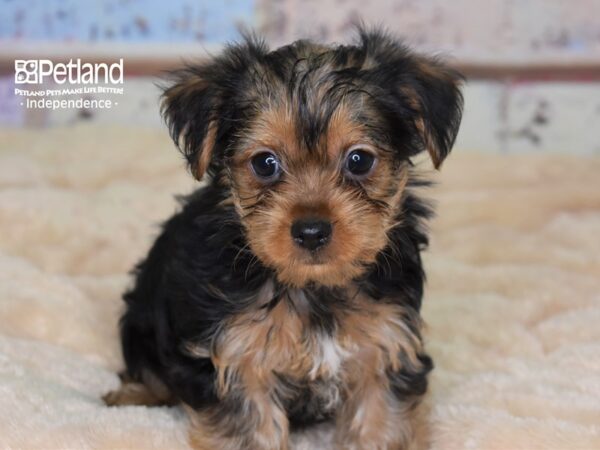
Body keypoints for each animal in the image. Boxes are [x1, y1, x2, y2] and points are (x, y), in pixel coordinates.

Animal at [104, 28, 464, 450]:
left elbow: (379, 418)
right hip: (141, 318)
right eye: (265, 163)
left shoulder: (385, 342)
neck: (312, 286)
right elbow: (249, 428)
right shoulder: (235, 354)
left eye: (359, 160)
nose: (311, 231)